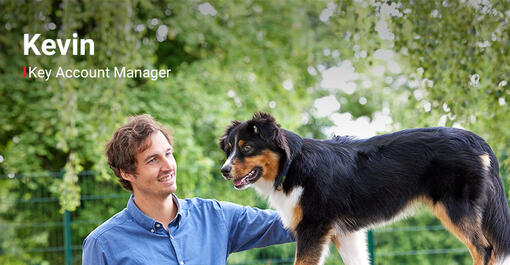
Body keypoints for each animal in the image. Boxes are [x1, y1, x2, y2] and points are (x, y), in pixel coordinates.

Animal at [219, 112, 510, 264]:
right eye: (229, 149)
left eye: (247, 148)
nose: (224, 171)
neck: (292, 165)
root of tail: (476, 139)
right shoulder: (344, 233)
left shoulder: (313, 227)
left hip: (455, 209)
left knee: (484, 249)